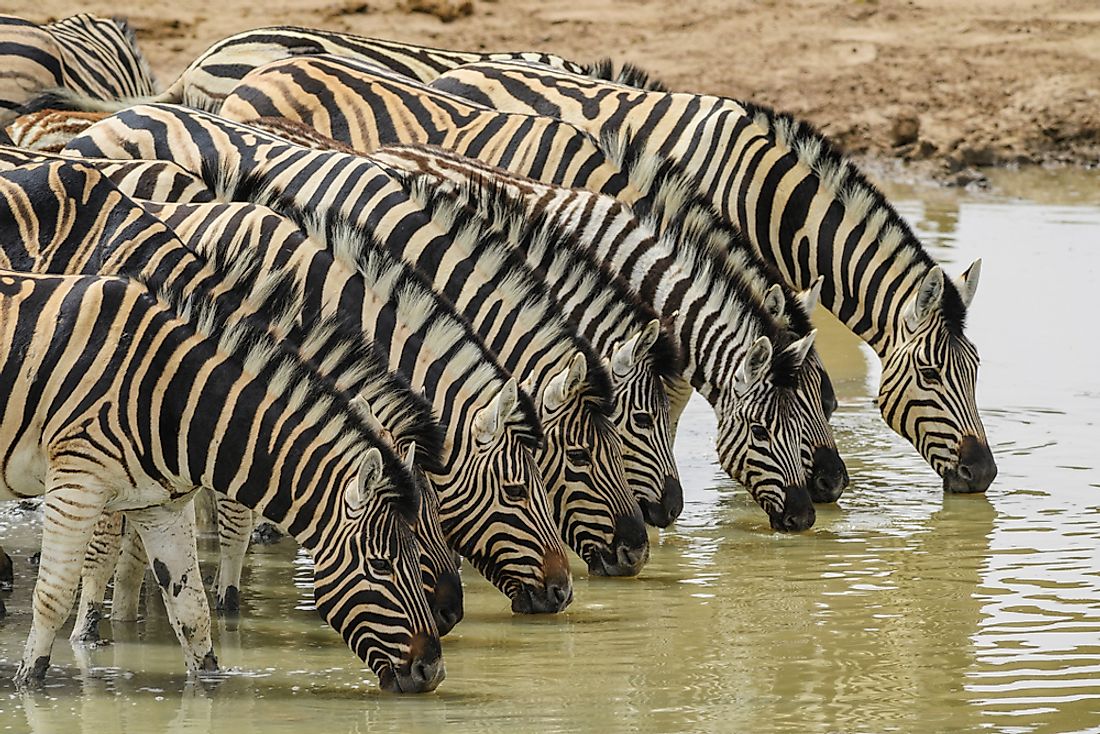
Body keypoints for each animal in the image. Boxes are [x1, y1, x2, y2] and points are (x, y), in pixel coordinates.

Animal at [0, 159, 464, 638]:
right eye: (416, 525)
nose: (452, 612)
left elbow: (146, 550)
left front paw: (132, 619)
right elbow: (114, 545)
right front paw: (94, 632)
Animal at [0, 267, 444, 691]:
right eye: (381, 565)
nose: (433, 672)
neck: (170, 394)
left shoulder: (159, 505)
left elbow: (192, 611)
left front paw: (211, 685)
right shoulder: (76, 481)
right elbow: (54, 596)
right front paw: (28, 684)